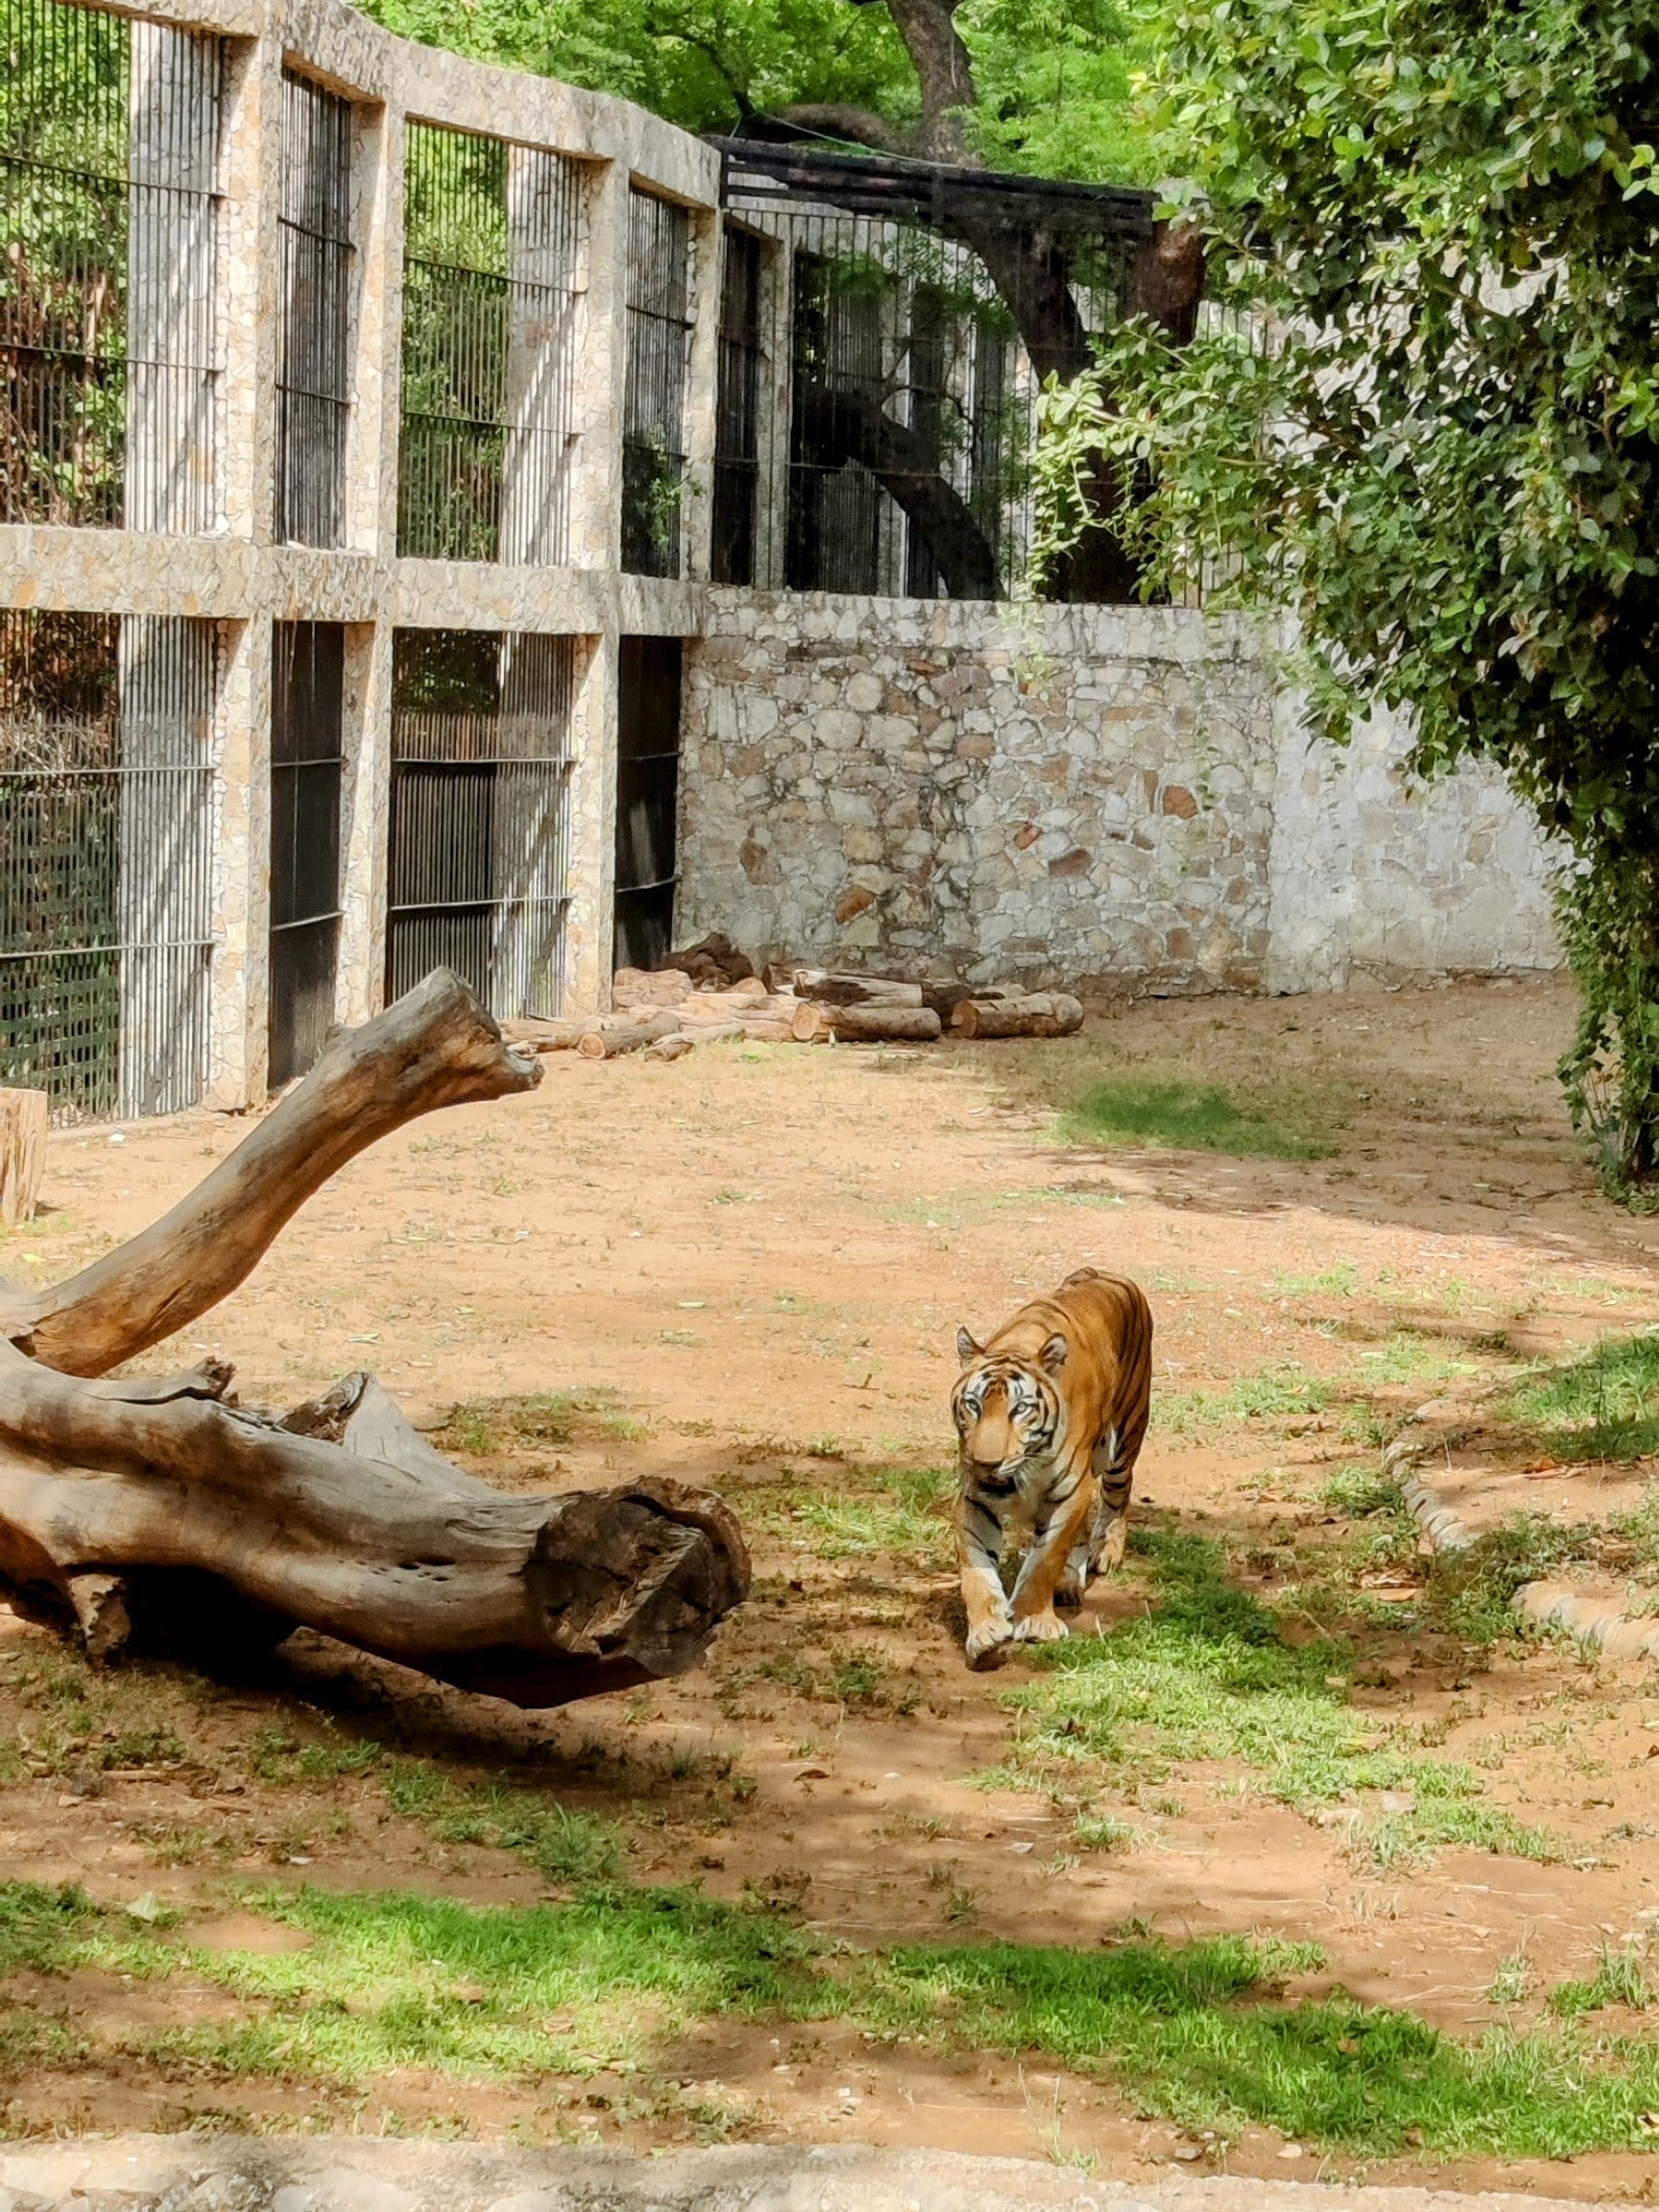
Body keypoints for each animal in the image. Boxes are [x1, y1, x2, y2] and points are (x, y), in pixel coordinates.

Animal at [950, 1267, 1153, 1669]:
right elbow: (976, 1570)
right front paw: (985, 1632)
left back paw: (1107, 1552)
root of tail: (1101, 1272)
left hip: (1125, 1438)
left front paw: (1034, 1622)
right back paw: (1069, 1582)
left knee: (1117, 1497)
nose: (986, 1462)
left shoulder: (1071, 1492)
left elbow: (1045, 1560)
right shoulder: (973, 1498)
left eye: (1020, 1409)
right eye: (973, 1405)